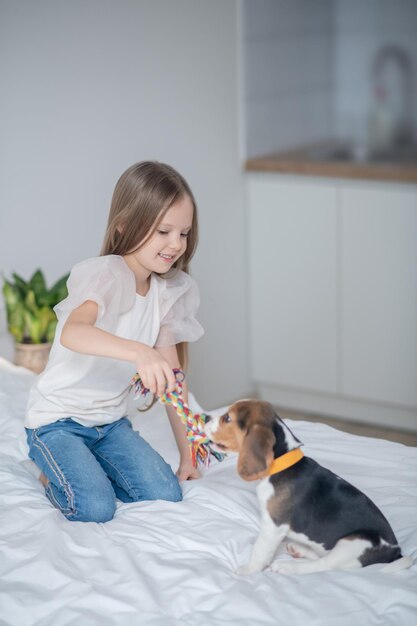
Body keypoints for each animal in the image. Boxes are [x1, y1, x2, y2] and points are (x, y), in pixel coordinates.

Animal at [203, 400, 412, 576]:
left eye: (227, 418)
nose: (205, 417)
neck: (280, 464)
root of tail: (396, 551)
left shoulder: (273, 526)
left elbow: (260, 549)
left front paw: (249, 569)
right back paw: (299, 549)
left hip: (354, 543)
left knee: (326, 565)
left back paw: (287, 566)